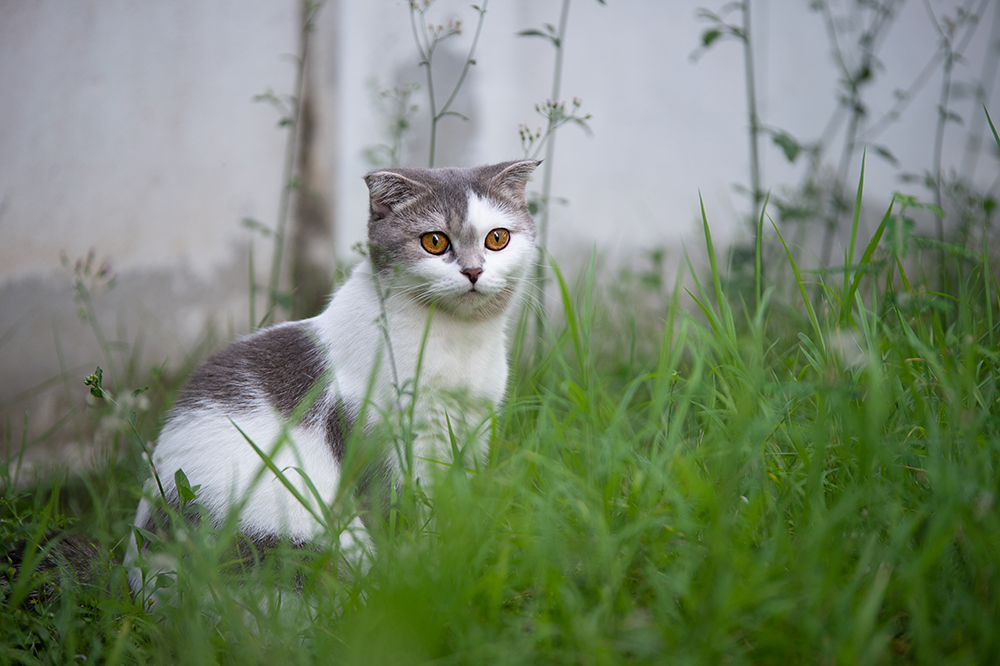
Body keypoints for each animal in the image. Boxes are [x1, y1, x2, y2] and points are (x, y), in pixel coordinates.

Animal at [129, 160, 544, 592]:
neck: (459, 342)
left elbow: (457, 501)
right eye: (434, 241)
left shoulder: (474, 428)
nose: (474, 270)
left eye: (497, 238)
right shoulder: (383, 439)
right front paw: (423, 570)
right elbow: (401, 513)